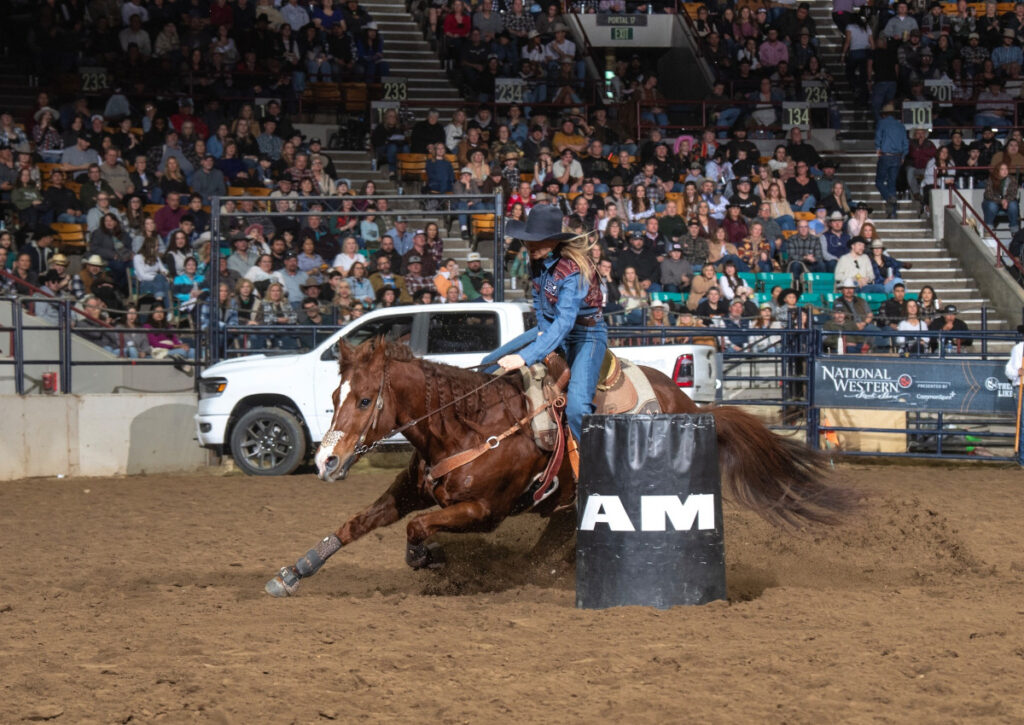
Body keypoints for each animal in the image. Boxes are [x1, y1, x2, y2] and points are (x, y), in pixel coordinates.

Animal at [264, 342, 847, 598]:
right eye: (335, 396)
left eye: (364, 400)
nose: (326, 460)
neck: (466, 426)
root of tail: (690, 403)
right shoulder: (412, 488)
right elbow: (355, 525)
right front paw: (293, 572)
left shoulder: (483, 511)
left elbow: (416, 528)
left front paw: (429, 557)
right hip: (568, 508)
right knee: (547, 548)